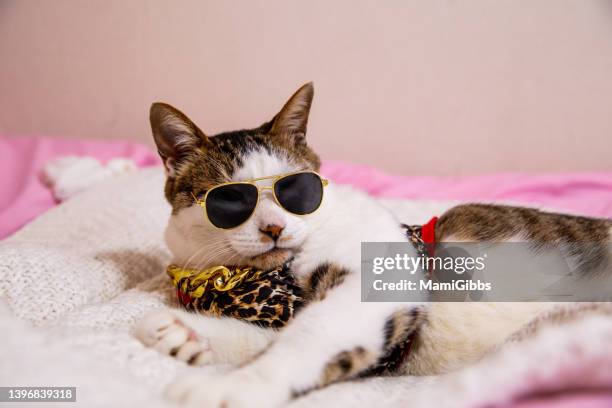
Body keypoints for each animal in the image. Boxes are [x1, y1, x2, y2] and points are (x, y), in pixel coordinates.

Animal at [131, 81, 608, 406]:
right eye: (229, 201)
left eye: (297, 190)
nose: (273, 228)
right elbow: (281, 333)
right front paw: (188, 331)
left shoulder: (376, 280)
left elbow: (309, 334)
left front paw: (235, 385)